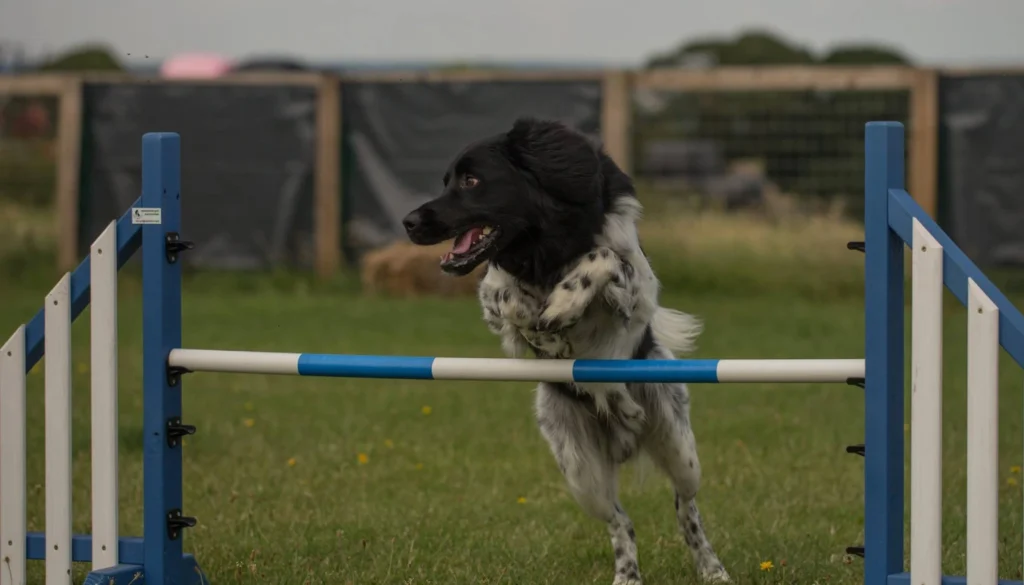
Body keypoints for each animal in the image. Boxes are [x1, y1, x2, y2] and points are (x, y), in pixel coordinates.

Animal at [399, 116, 729, 581]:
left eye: (471, 180)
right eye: (446, 180)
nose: (409, 221)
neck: (546, 243)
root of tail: (623, 442)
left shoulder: (637, 290)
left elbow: (604, 257)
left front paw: (563, 305)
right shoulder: (493, 294)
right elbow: (508, 299)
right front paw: (550, 330)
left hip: (679, 446)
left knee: (686, 506)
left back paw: (712, 568)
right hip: (579, 469)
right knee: (620, 520)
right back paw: (627, 575)